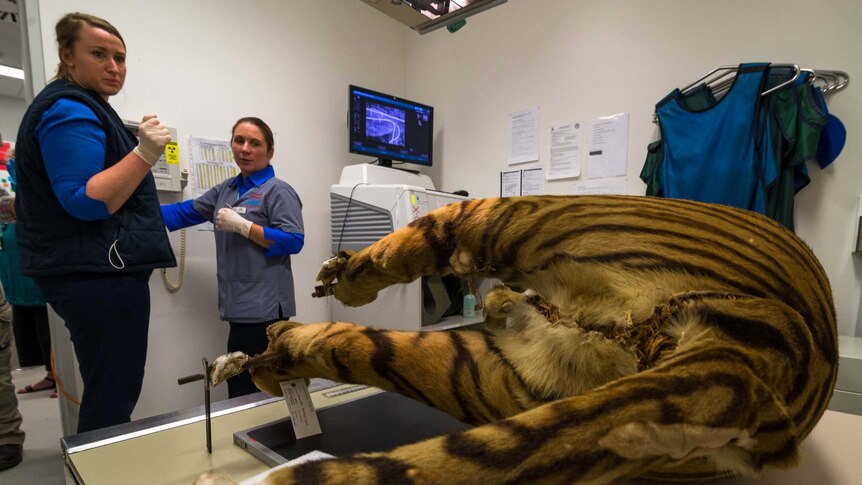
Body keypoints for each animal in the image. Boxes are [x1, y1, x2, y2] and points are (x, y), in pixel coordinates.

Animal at [208, 195, 836, 482]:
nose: (493, 303)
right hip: (484, 378)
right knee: (362, 346)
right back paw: (272, 355)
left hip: (509, 217)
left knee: (403, 250)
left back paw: (332, 291)